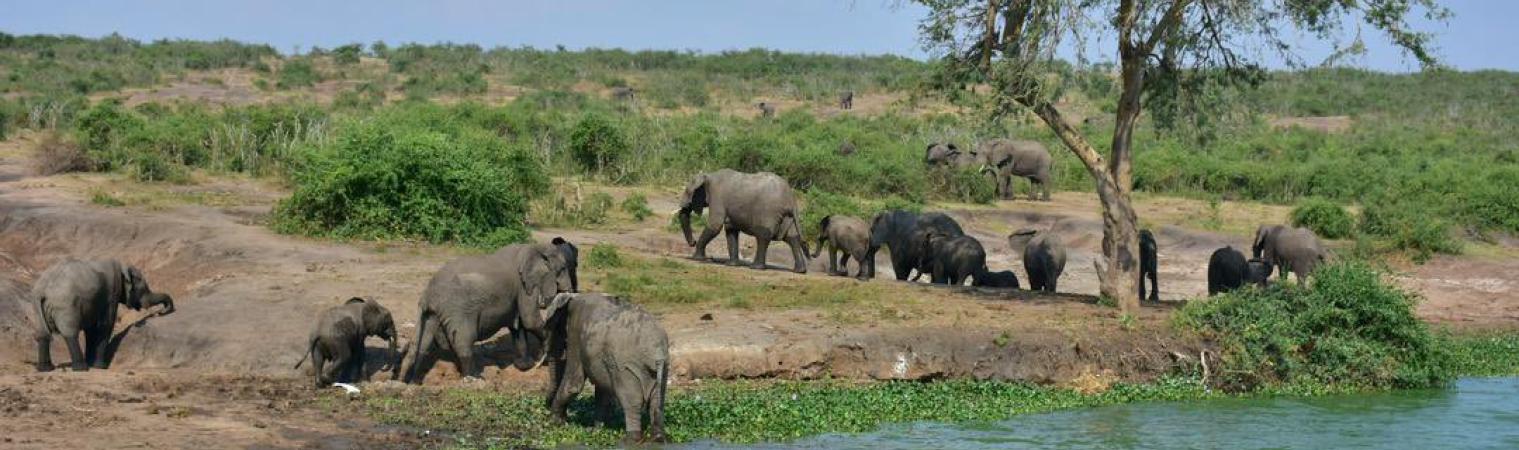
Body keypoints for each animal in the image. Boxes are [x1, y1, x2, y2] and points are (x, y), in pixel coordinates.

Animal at [28, 258, 173, 370]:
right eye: (144, 288)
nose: (161, 312)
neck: (123, 267)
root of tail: (43, 291)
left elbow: (91, 329)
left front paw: (92, 363)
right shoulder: (111, 292)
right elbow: (105, 325)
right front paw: (100, 367)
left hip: (35, 305)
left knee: (43, 334)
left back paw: (45, 369)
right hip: (65, 306)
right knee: (70, 334)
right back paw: (81, 368)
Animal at [394, 238, 577, 383]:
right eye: (562, 269)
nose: (567, 291)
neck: (534, 247)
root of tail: (427, 293)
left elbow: (518, 326)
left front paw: (524, 366)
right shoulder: (524, 286)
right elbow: (529, 320)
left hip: (433, 312)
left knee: (423, 342)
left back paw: (412, 383)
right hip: (458, 309)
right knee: (464, 340)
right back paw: (474, 378)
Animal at [543, 293, 668, 443]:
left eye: (550, 328)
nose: (545, 405)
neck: (572, 296)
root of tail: (657, 351)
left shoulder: (575, 332)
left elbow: (573, 384)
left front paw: (555, 423)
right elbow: (603, 390)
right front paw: (596, 430)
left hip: (625, 366)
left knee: (632, 401)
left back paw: (630, 440)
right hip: (663, 367)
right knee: (657, 401)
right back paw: (658, 439)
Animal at [683, 168, 814, 272]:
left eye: (687, 192)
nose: (692, 242)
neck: (708, 176)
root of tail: (791, 198)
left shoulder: (717, 197)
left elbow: (715, 225)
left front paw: (697, 259)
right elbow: (731, 230)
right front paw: (731, 265)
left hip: (768, 212)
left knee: (763, 235)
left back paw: (755, 267)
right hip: (786, 215)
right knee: (792, 237)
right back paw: (800, 271)